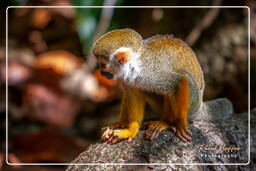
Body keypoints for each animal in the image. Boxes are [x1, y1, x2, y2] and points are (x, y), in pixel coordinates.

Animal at [91, 28, 232, 144]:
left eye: (103, 64)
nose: (101, 72)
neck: (135, 66)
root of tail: (200, 106)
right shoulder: (131, 78)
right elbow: (133, 93)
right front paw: (131, 129)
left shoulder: (148, 74)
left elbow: (179, 81)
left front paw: (180, 125)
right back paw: (122, 122)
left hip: (193, 102)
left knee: (183, 80)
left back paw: (165, 122)